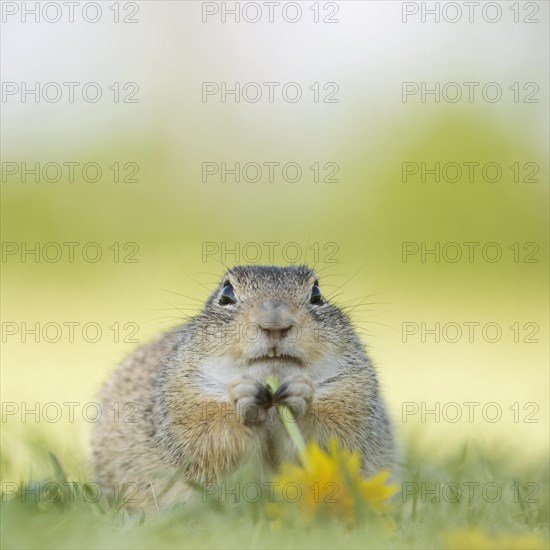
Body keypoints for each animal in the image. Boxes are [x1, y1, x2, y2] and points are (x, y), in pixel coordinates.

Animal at [94, 266, 396, 512]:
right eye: (226, 294)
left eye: (317, 295)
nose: (275, 323)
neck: (272, 403)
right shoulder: (183, 398)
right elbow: (209, 440)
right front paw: (243, 398)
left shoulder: (353, 394)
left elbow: (334, 443)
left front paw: (300, 395)